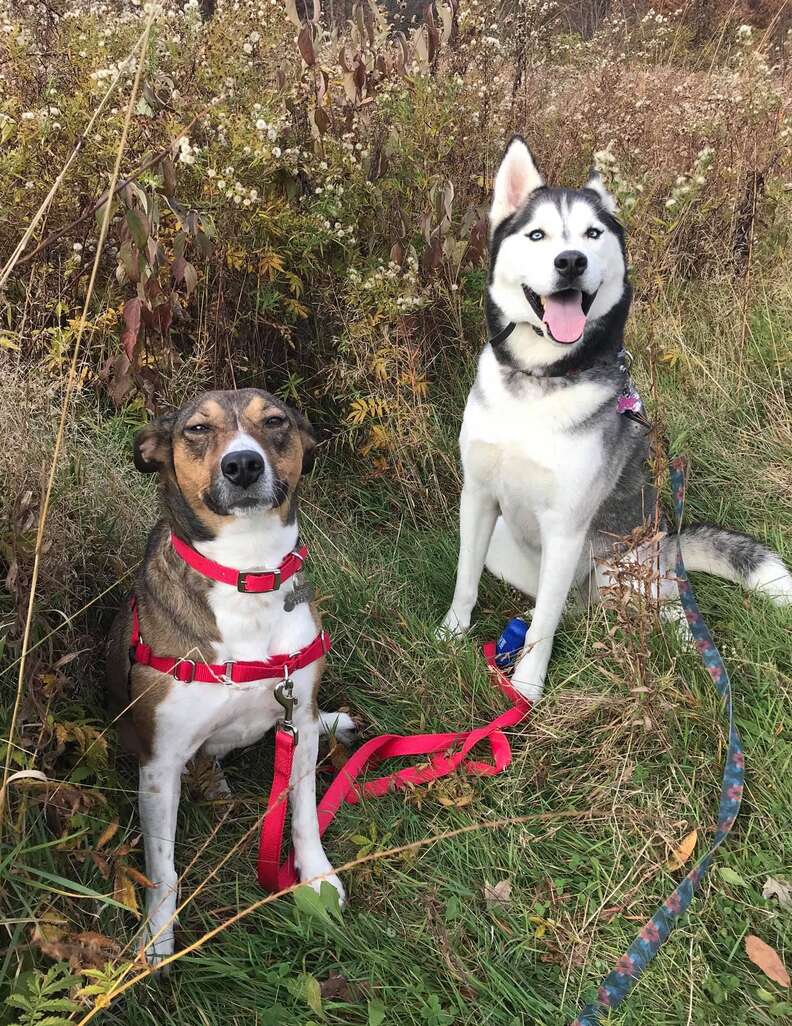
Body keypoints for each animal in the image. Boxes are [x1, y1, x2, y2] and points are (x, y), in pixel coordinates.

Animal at [106, 387, 354, 964]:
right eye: (197, 429)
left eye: (275, 421)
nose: (242, 465)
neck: (249, 571)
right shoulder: (159, 762)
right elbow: (162, 867)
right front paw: (157, 938)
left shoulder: (297, 721)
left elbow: (304, 814)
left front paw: (316, 878)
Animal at [439, 136, 791, 701]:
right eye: (537, 234)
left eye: (592, 233)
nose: (570, 261)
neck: (540, 381)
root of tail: (668, 543)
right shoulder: (478, 497)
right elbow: (466, 579)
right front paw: (450, 636)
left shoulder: (566, 528)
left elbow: (542, 628)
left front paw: (527, 690)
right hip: (513, 552)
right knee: (561, 605)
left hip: (620, 570)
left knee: (663, 614)